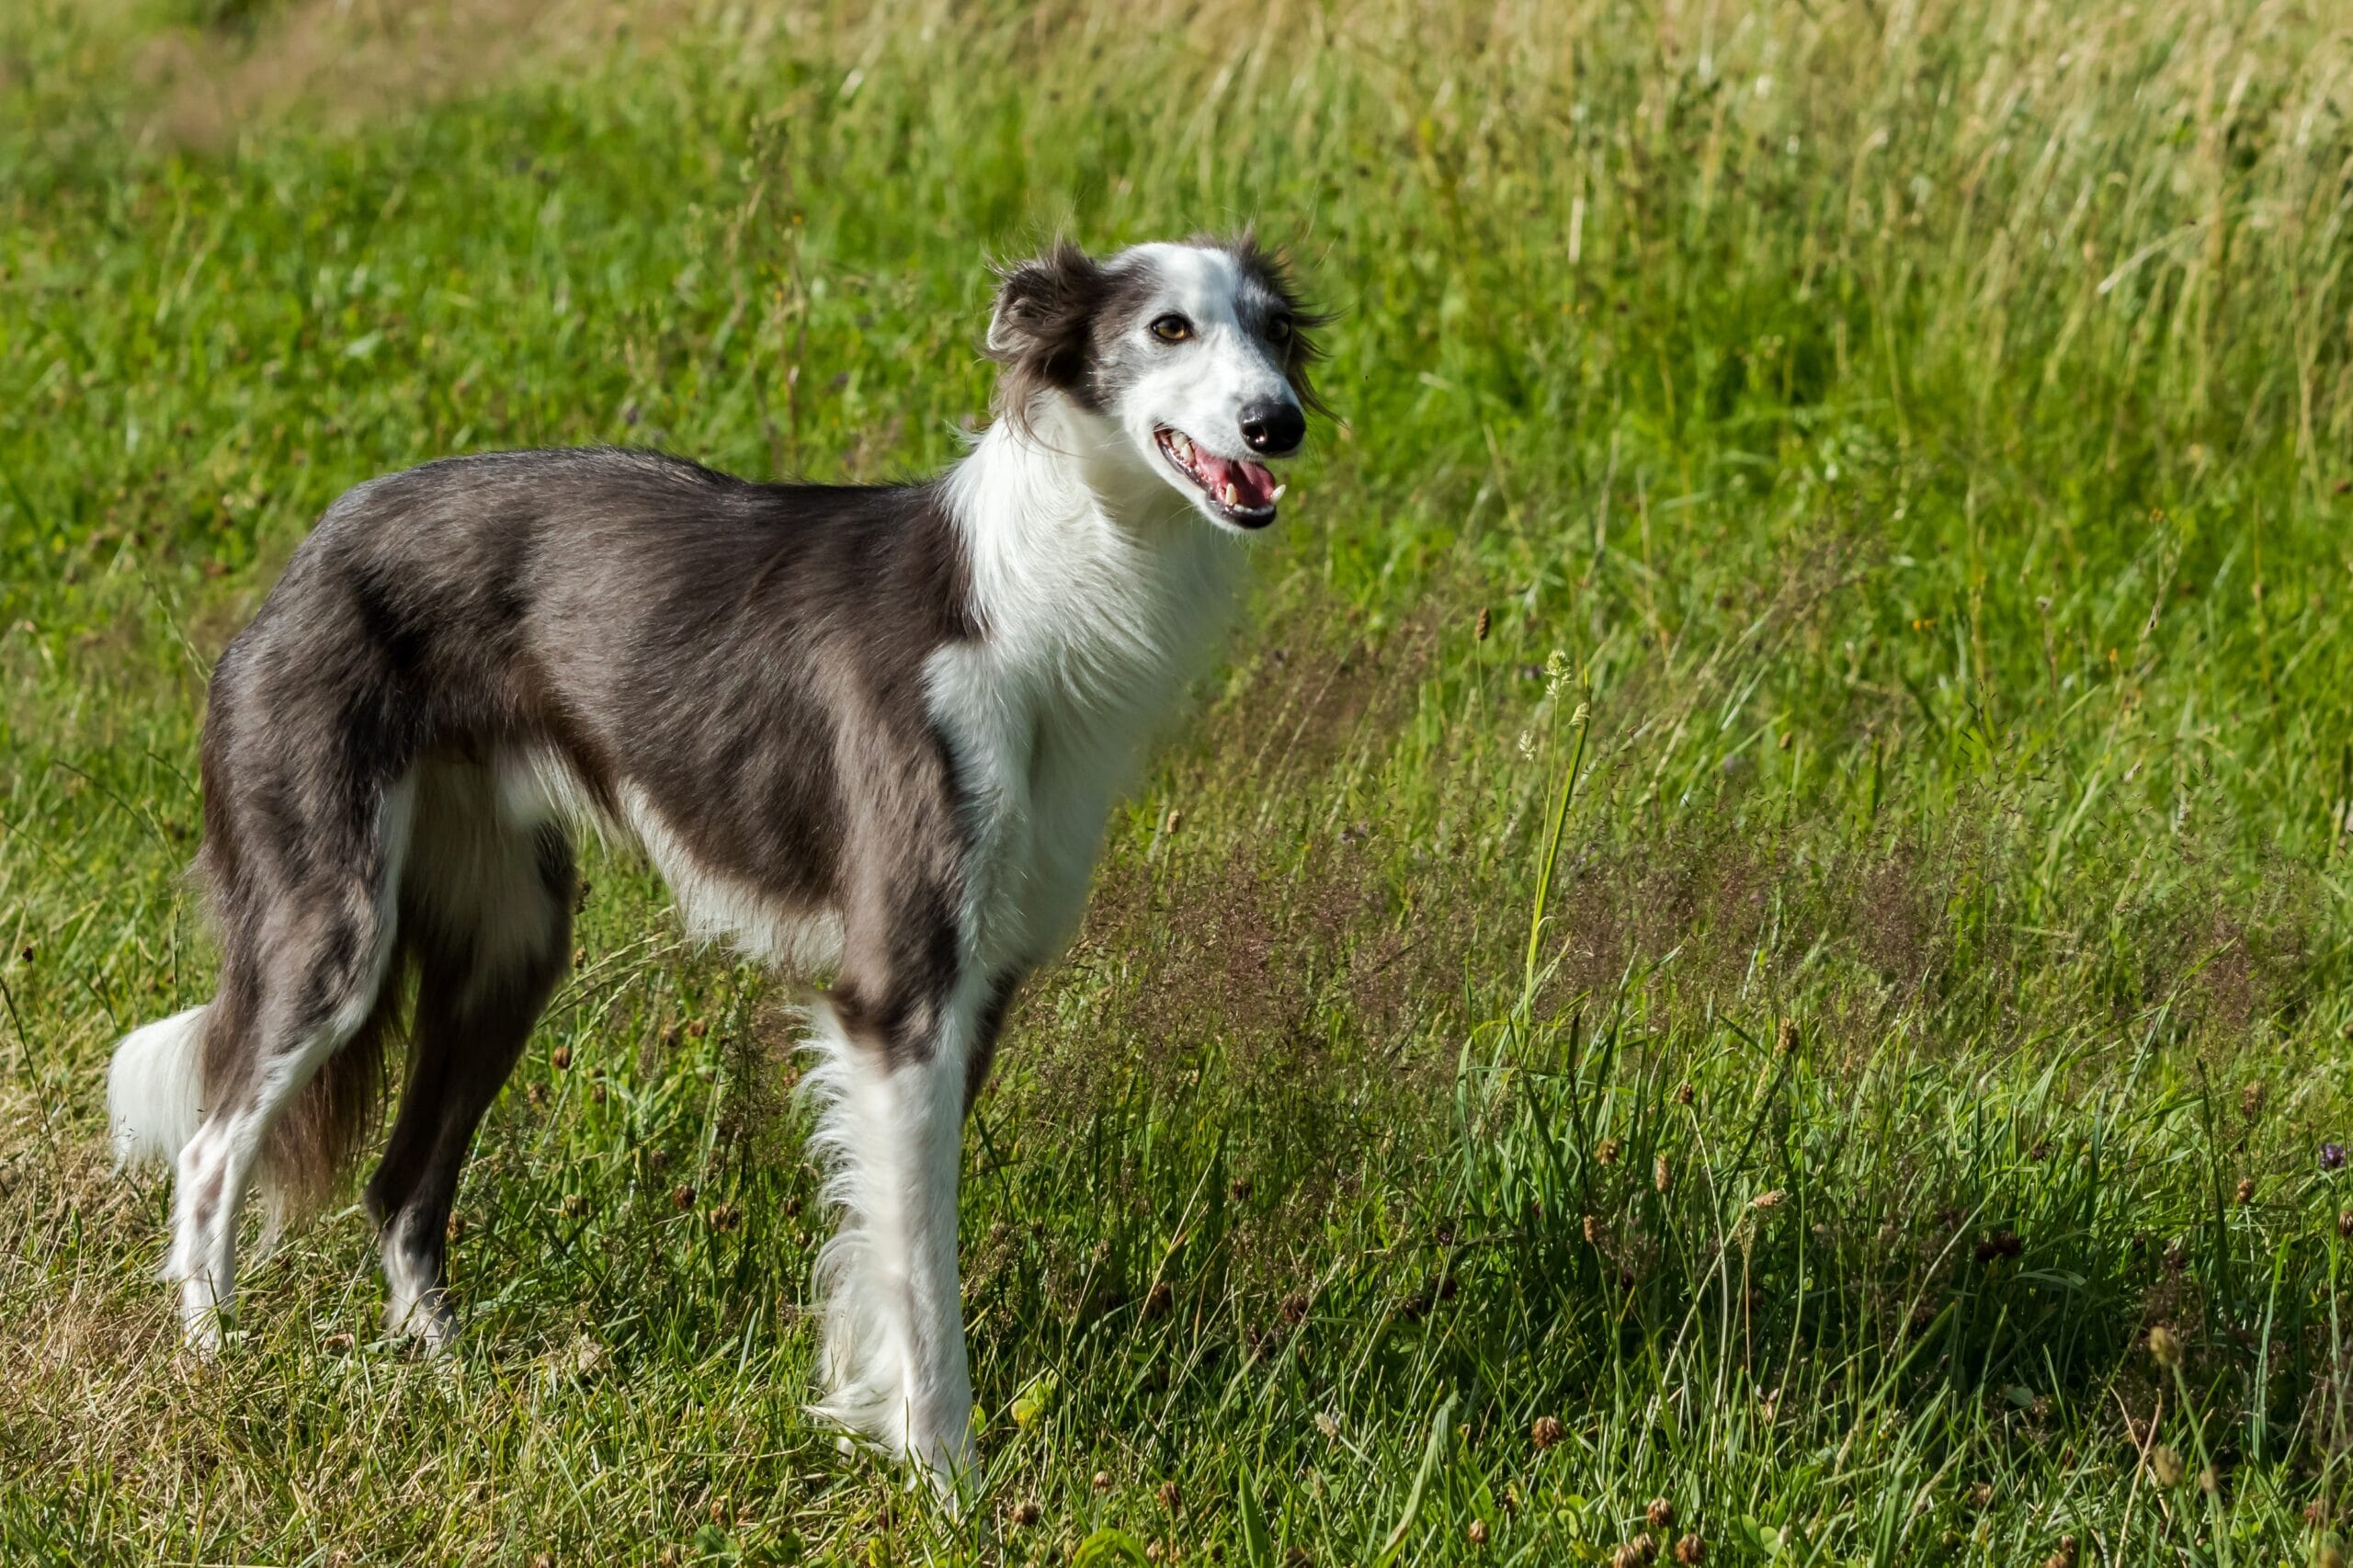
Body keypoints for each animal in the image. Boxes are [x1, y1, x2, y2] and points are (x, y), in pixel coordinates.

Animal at [106, 229, 1326, 1478]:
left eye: (1275, 329)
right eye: (1168, 327)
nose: (1278, 425)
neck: (1034, 584)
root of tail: (309, 555)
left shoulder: (978, 986)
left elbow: (885, 1243)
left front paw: (867, 1412)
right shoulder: (901, 990)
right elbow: (923, 1278)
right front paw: (944, 1476)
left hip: (511, 948)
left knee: (400, 1187)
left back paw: (450, 1383)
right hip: (332, 933)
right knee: (209, 1152)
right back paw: (216, 1361)